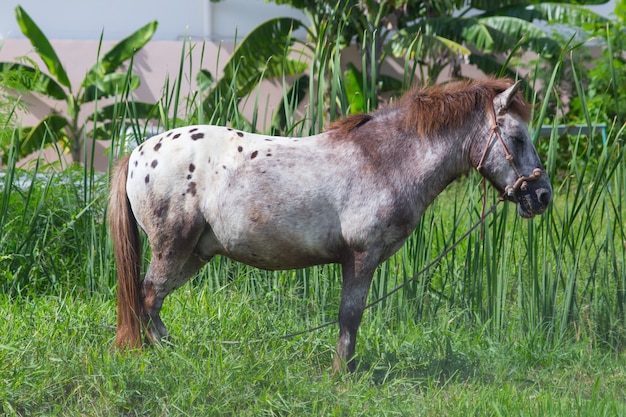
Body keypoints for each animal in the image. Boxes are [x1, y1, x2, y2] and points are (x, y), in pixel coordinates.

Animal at [109, 77, 548, 370]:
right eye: (518, 138)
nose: (542, 196)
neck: (384, 160)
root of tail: (138, 153)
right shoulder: (361, 257)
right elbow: (350, 316)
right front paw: (343, 374)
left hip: (195, 255)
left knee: (151, 301)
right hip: (173, 247)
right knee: (148, 296)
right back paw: (161, 355)